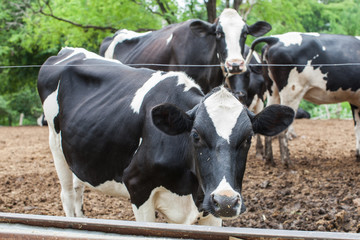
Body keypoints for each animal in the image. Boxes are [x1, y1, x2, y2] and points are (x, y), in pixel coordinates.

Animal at [38, 48, 294, 225]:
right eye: (195, 135)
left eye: (248, 138)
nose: (226, 201)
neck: (191, 191)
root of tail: (66, 51)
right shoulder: (138, 187)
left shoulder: (210, 209)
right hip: (55, 144)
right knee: (67, 194)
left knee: (78, 189)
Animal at [248, 31, 360, 167]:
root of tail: (275, 39)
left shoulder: (355, 100)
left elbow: (357, 127)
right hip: (292, 91)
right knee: (284, 131)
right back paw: (287, 163)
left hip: (272, 90)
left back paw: (270, 160)